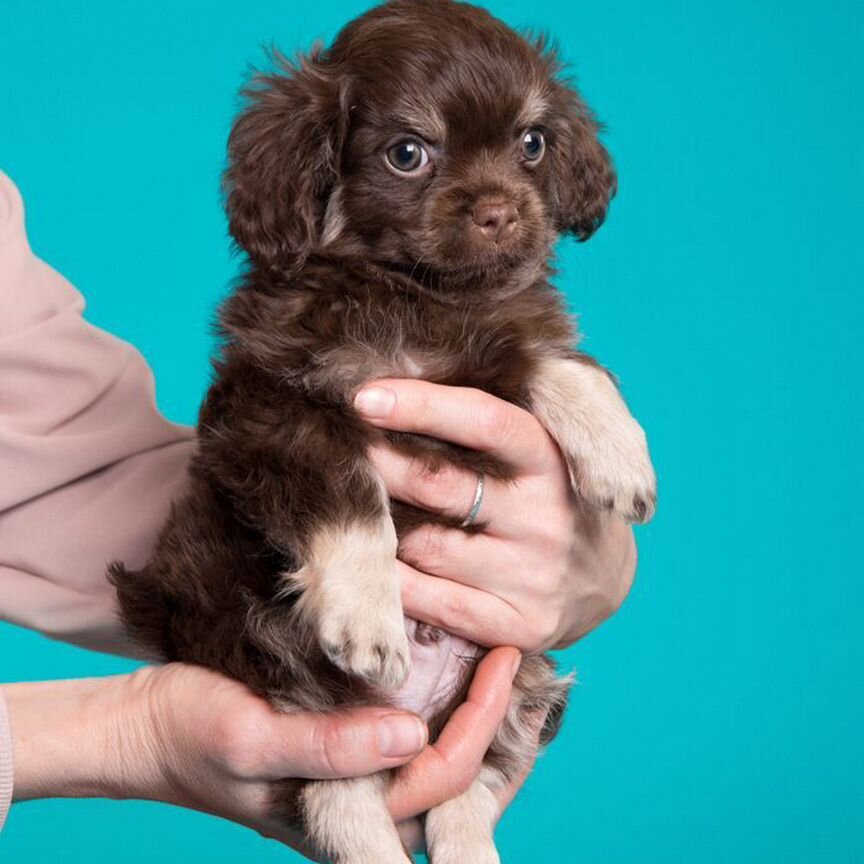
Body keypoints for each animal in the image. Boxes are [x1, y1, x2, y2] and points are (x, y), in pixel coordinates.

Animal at [111, 3, 660, 860]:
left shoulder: (497, 339)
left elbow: (555, 358)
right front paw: (370, 612)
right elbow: (350, 496)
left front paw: (618, 454)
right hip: (275, 663)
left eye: (532, 143)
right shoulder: (272, 406)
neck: (417, 294)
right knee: (338, 794)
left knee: (468, 790)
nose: (502, 211)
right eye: (408, 154)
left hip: (518, 677)